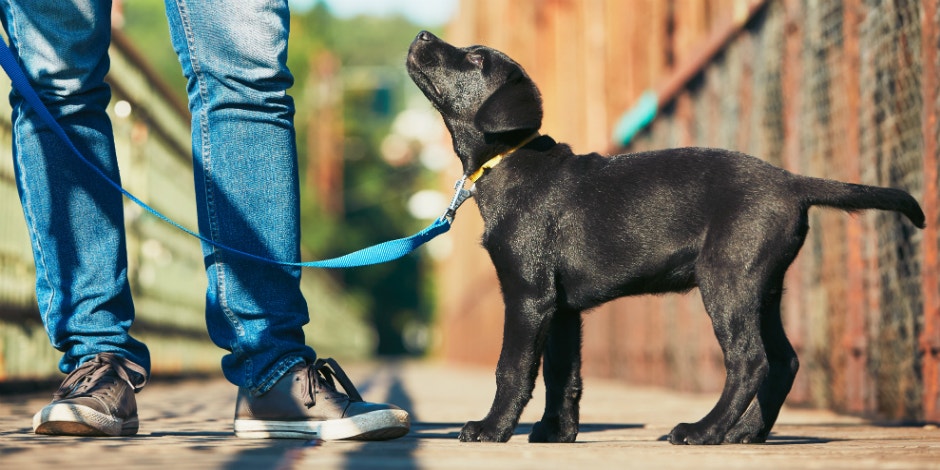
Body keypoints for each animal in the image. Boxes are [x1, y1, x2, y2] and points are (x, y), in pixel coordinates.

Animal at [406, 32, 924, 444]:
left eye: (476, 59)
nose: (422, 34)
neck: (508, 160)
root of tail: (793, 182)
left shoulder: (528, 295)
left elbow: (512, 369)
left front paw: (491, 429)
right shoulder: (562, 307)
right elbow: (562, 374)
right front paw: (556, 432)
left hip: (726, 280)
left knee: (750, 360)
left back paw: (703, 431)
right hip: (763, 286)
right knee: (783, 362)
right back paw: (744, 433)